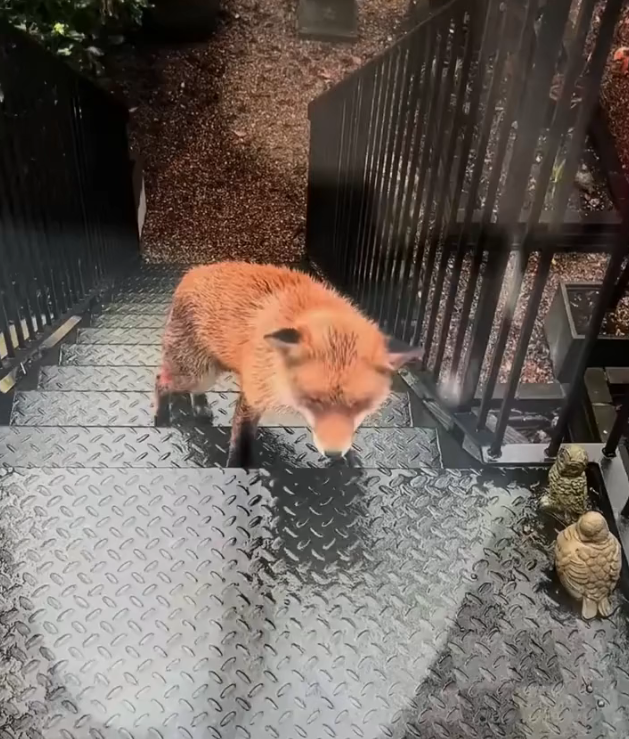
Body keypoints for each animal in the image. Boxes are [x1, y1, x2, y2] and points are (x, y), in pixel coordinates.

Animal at [154, 262, 423, 466]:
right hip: (198, 374)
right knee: (160, 380)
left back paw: (198, 406)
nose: (333, 453)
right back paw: (161, 417)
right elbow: (241, 436)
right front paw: (239, 467)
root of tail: (192, 272)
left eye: (359, 405)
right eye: (314, 401)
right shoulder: (255, 390)